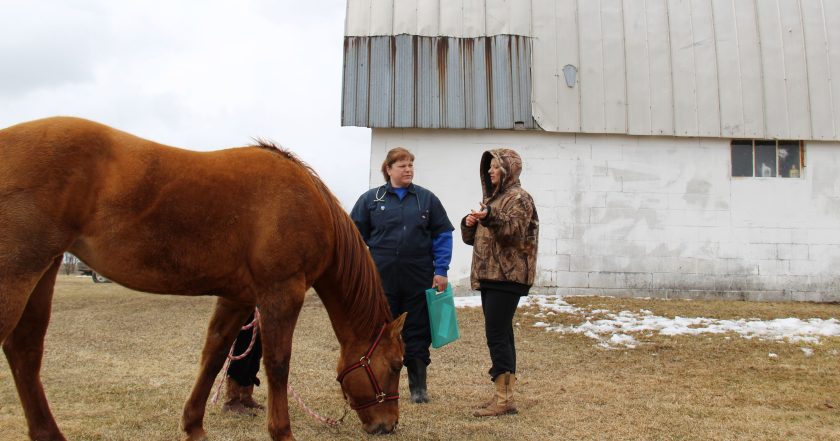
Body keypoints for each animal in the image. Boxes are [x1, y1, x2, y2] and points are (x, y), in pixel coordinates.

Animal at [0, 117, 406, 440]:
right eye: (396, 365)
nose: (387, 425)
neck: (307, 204)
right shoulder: (281, 293)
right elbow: (277, 364)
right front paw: (282, 432)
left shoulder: (239, 297)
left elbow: (214, 355)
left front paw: (194, 426)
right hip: (19, 273)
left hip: (45, 270)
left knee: (25, 352)